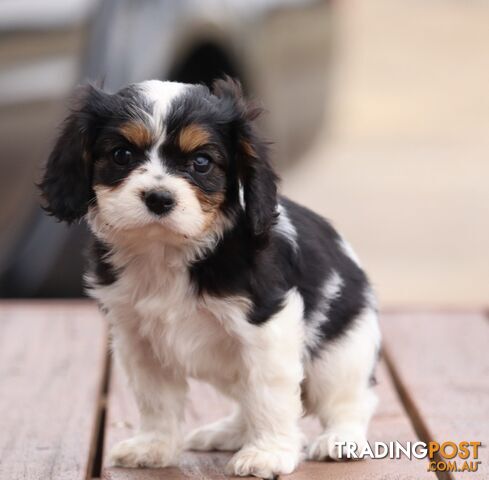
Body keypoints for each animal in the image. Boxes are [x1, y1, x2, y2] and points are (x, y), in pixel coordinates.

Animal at [40, 78, 380, 476]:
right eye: (121, 155)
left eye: (201, 162)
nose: (159, 198)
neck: (167, 251)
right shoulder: (138, 339)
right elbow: (155, 399)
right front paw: (154, 445)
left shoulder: (267, 330)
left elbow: (269, 396)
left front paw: (267, 453)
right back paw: (228, 433)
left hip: (341, 355)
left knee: (351, 400)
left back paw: (339, 439)